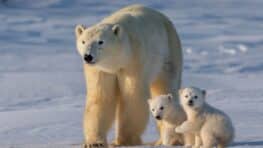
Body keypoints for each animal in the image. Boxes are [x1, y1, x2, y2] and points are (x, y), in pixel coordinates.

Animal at [75, 4, 184, 147]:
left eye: (100, 42)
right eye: (83, 41)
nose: (88, 56)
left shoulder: (134, 61)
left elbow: (133, 97)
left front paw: (123, 141)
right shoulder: (101, 70)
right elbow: (100, 98)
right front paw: (94, 142)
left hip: (168, 53)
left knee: (165, 87)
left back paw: (168, 139)